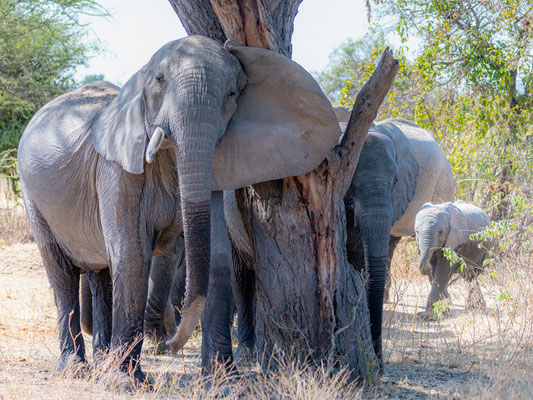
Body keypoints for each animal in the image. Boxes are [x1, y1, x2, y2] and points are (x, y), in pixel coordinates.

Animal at [19, 35, 340, 382]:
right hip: (32, 196)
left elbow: (215, 257)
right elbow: (132, 253)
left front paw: (224, 383)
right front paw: (124, 382)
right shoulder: (116, 169)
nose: (170, 345)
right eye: (160, 80)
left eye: (231, 94)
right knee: (62, 271)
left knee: (102, 272)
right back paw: (76, 369)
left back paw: (102, 362)